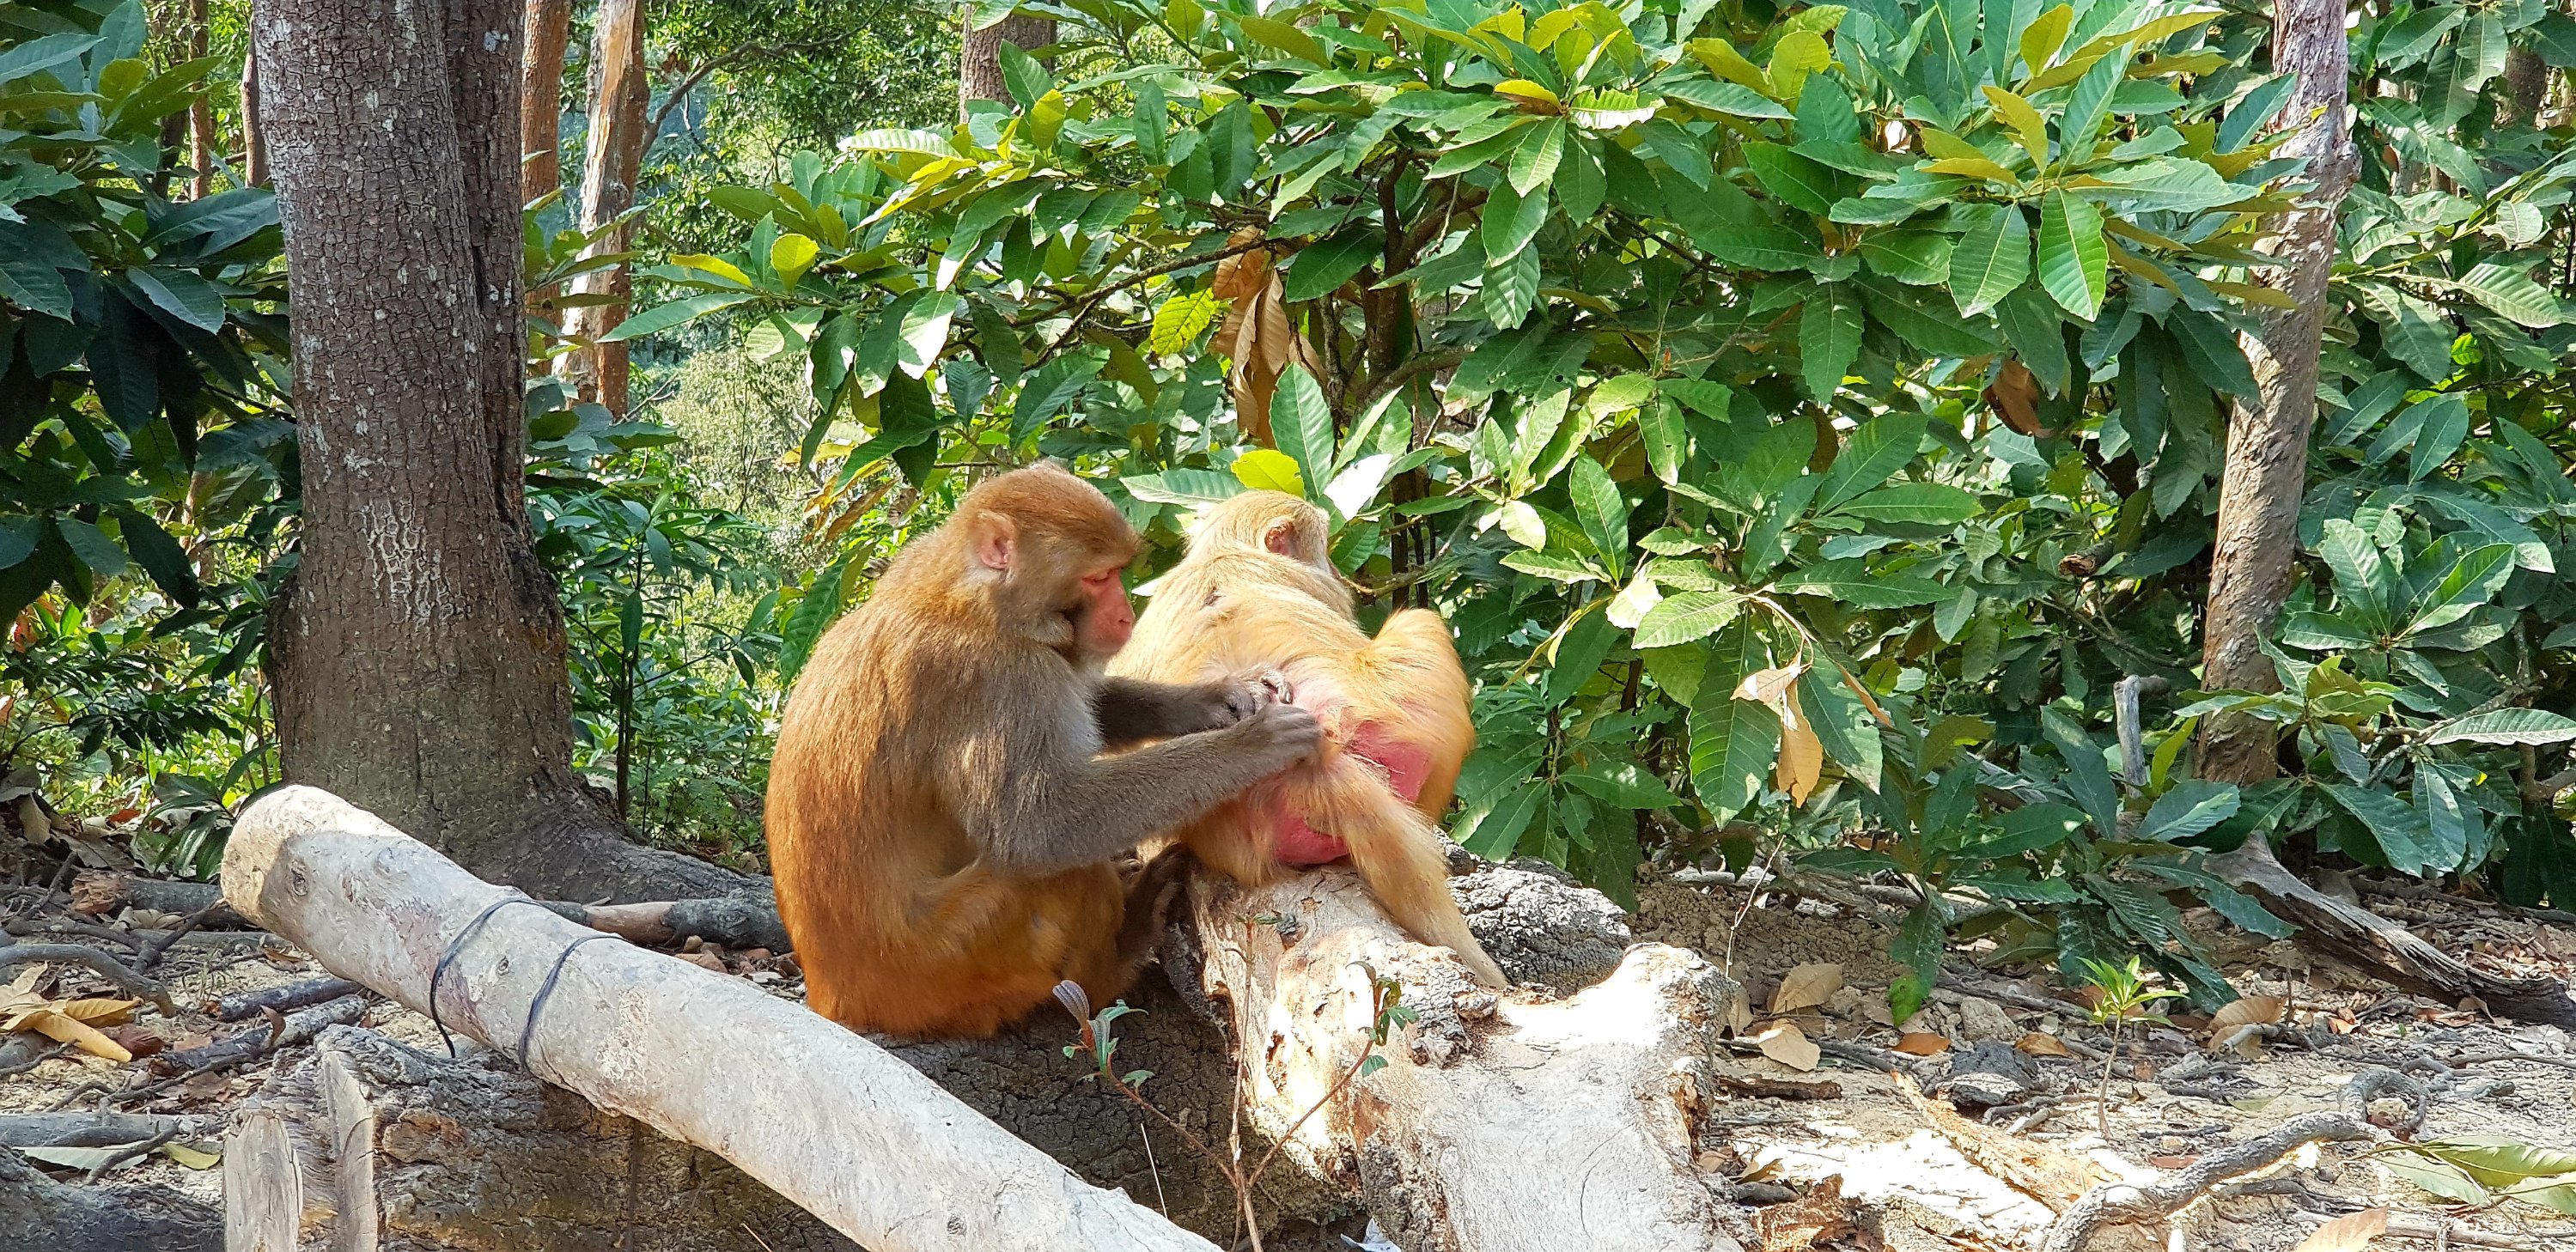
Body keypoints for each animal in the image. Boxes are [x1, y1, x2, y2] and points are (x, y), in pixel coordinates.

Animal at [765, 463, 1324, 1039]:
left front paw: (1222, 698)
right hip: (946, 971)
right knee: (1056, 870)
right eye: (1098, 578)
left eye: (1118, 572)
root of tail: (833, 998)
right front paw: (1252, 745)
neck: (971, 598)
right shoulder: (998, 678)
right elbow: (1036, 829)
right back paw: (1118, 956)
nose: (1126, 616)